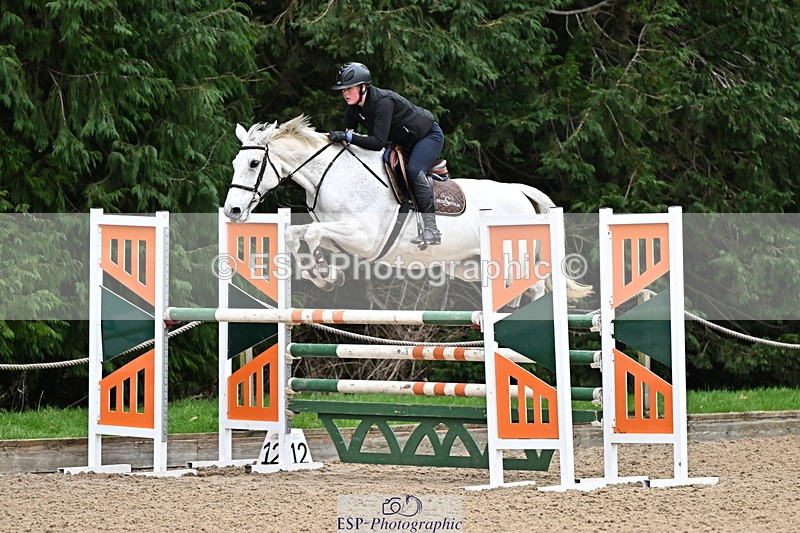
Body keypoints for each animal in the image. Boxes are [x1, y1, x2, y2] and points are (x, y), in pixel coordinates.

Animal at [223, 115, 592, 302]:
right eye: (235, 163)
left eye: (254, 163)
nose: (233, 211)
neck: (335, 174)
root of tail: (518, 191)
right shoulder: (341, 238)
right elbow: (295, 234)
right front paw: (322, 276)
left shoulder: (364, 238)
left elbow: (311, 233)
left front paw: (325, 274)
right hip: (474, 266)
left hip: (514, 258)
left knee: (533, 288)